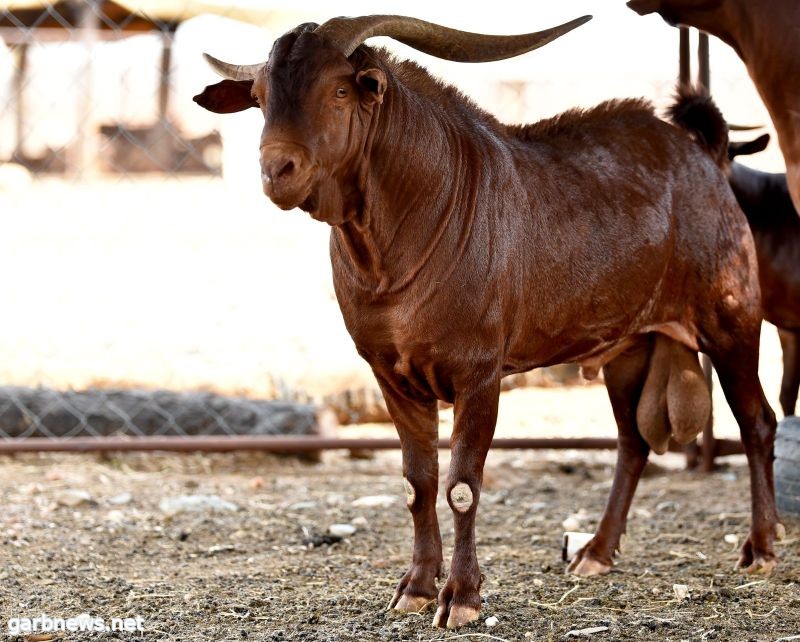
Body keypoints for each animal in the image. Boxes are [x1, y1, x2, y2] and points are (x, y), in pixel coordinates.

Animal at [197, 16, 780, 632]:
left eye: (338, 89)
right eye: (261, 96)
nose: (277, 170)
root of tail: (703, 155)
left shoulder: (477, 374)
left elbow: (462, 486)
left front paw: (462, 596)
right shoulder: (390, 375)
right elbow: (418, 481)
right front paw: (415, 588)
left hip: (732, 320)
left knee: (757, 422)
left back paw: (761, 548)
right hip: (629, 347)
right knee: (632, 442)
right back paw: (596, 552)